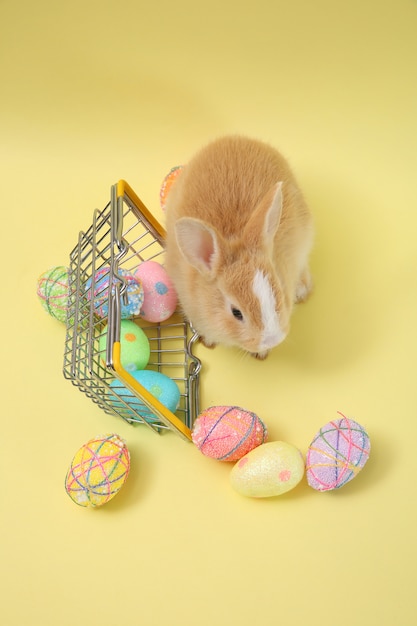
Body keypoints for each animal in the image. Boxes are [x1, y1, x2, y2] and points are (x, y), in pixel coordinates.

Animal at [162, 135, 312, 360]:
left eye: (278, 289)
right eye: (236, 312)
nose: (273, 339)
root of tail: (236, 138)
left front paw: (262, 353)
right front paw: (209, 341)